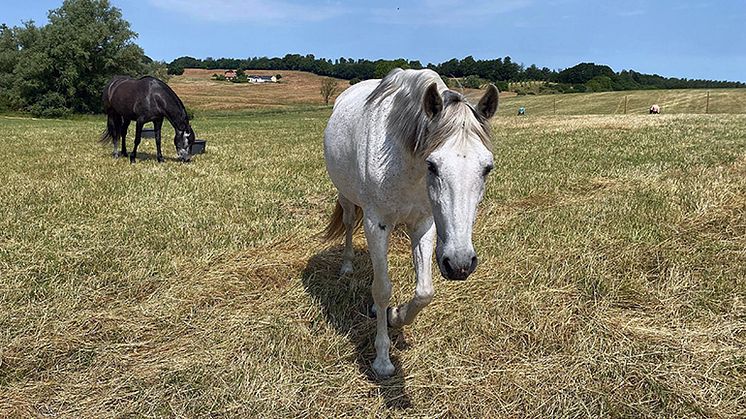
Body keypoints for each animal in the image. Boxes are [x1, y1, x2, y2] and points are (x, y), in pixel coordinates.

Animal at [322, 69, 496, 378]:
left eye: (487, 168)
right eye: (432, 165)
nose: (460, 264)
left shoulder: (424, 224)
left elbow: (424, 292)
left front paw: (395, 315)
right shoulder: (375, 224)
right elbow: (382, 289)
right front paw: (382, 359)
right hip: (346, 197)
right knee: (348, 223)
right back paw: (347, 266)